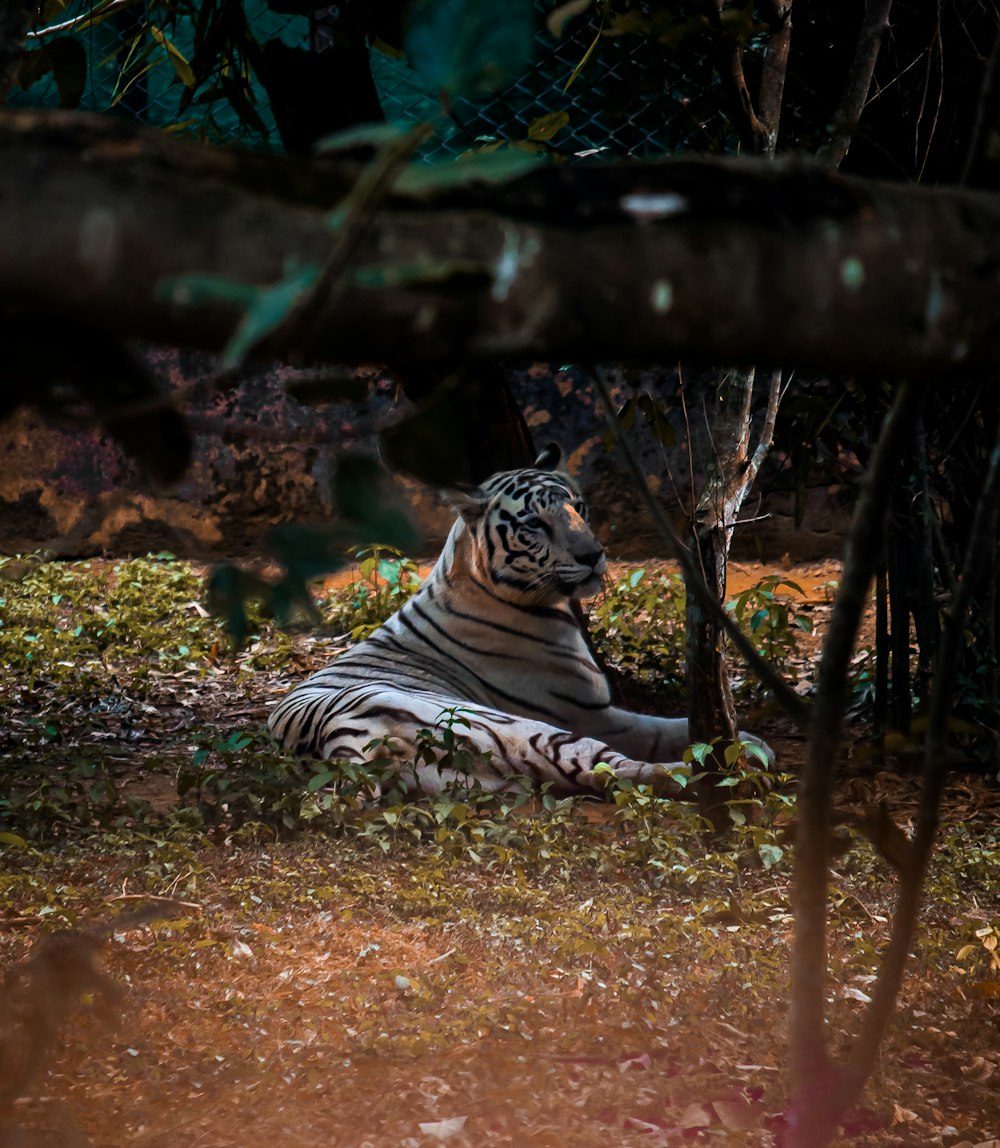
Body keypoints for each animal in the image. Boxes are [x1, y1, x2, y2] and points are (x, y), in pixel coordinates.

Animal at [269, 447, 771, 799]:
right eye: (533, 523)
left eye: (579, 507)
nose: (593, 555)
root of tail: (335, 742)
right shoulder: (587, 712)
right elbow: (659, 729)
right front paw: (746, 744)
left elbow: (666, 726)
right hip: (521, 729)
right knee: (611, 768)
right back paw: (725, 778)